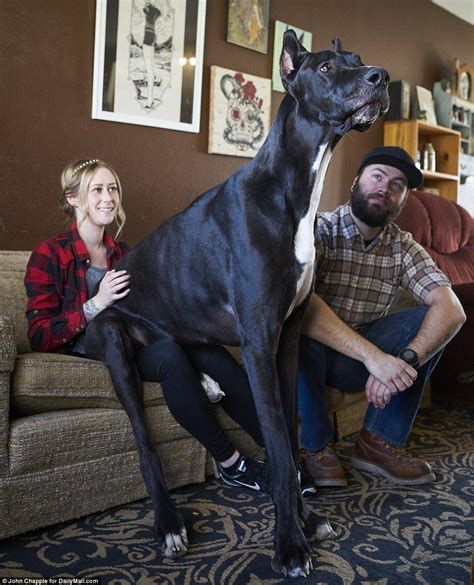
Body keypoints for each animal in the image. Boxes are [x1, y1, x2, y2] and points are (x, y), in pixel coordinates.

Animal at [85, 30, 388, 576]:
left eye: (357, 59)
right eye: (327, 67)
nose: (382, 78)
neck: (292, 192)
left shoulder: (287, 340)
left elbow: (288, 439)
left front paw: (305, 522)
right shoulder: (258, 342)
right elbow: (280, 451)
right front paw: (290, 543)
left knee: (178, 349)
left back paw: (205, 381)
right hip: (114, 341)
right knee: (143, 440)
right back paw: (169, 522)